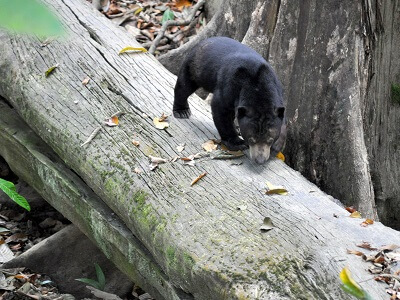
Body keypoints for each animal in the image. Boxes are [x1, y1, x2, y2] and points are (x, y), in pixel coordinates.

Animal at [173, 37, 286, 165]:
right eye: (251, 139)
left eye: (270, 140)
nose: (259, 160)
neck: (258, 85)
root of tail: (202, 41)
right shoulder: (229, 87)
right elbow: (221, 111)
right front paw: (238, 143)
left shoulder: (278, 93)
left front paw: (275, 147)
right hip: (195, 66)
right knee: (184, 85)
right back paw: (182, 111)